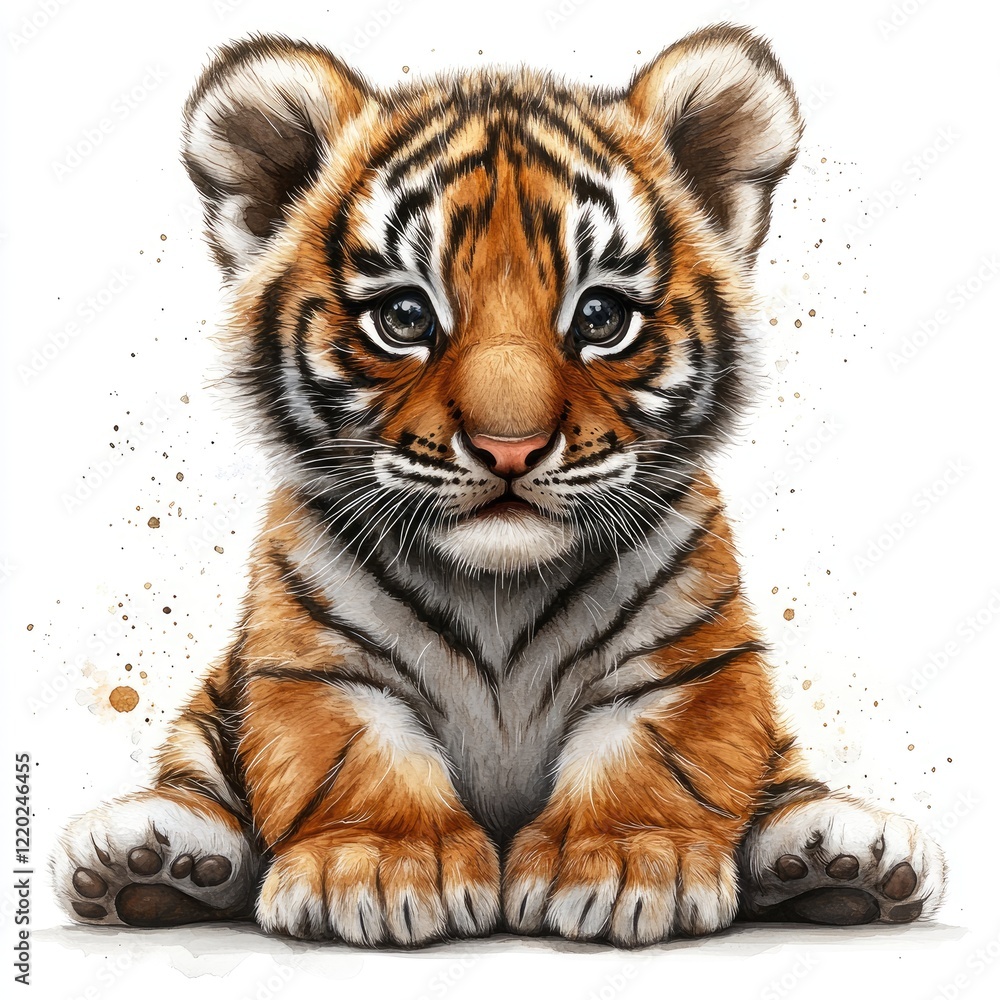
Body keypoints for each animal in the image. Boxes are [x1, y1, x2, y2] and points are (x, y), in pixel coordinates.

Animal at [53, 24, 945, 947]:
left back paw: (842, 863)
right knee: (195, 768)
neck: (499, 592)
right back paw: (149, 863)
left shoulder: (688, 660)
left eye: (601, 318)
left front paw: (629, 862)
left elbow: (658, 758)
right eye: (405, 318)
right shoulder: (315, 665)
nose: (508, 448)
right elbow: (354, 758)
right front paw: (376, 866)